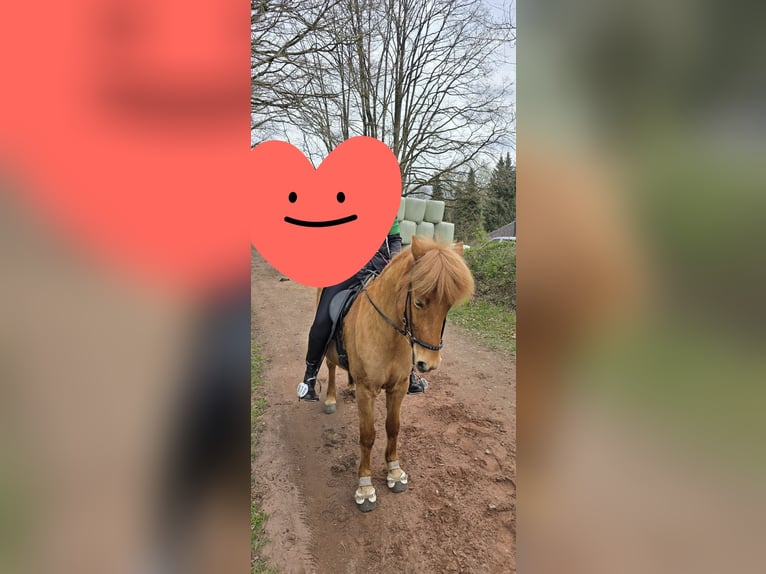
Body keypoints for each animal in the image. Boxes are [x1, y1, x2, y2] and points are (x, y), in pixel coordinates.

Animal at [321, 235, 474, 512]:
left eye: (448, 307)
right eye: (418, 302)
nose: (428, 363)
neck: (388, 334)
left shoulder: (399, 386)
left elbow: (393, 428)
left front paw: (394, 471)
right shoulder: (368, 392)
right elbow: (367, 436)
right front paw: (365, 487)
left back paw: (349, 386)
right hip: (328, 348)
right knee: (329, 366)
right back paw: (329, 399)